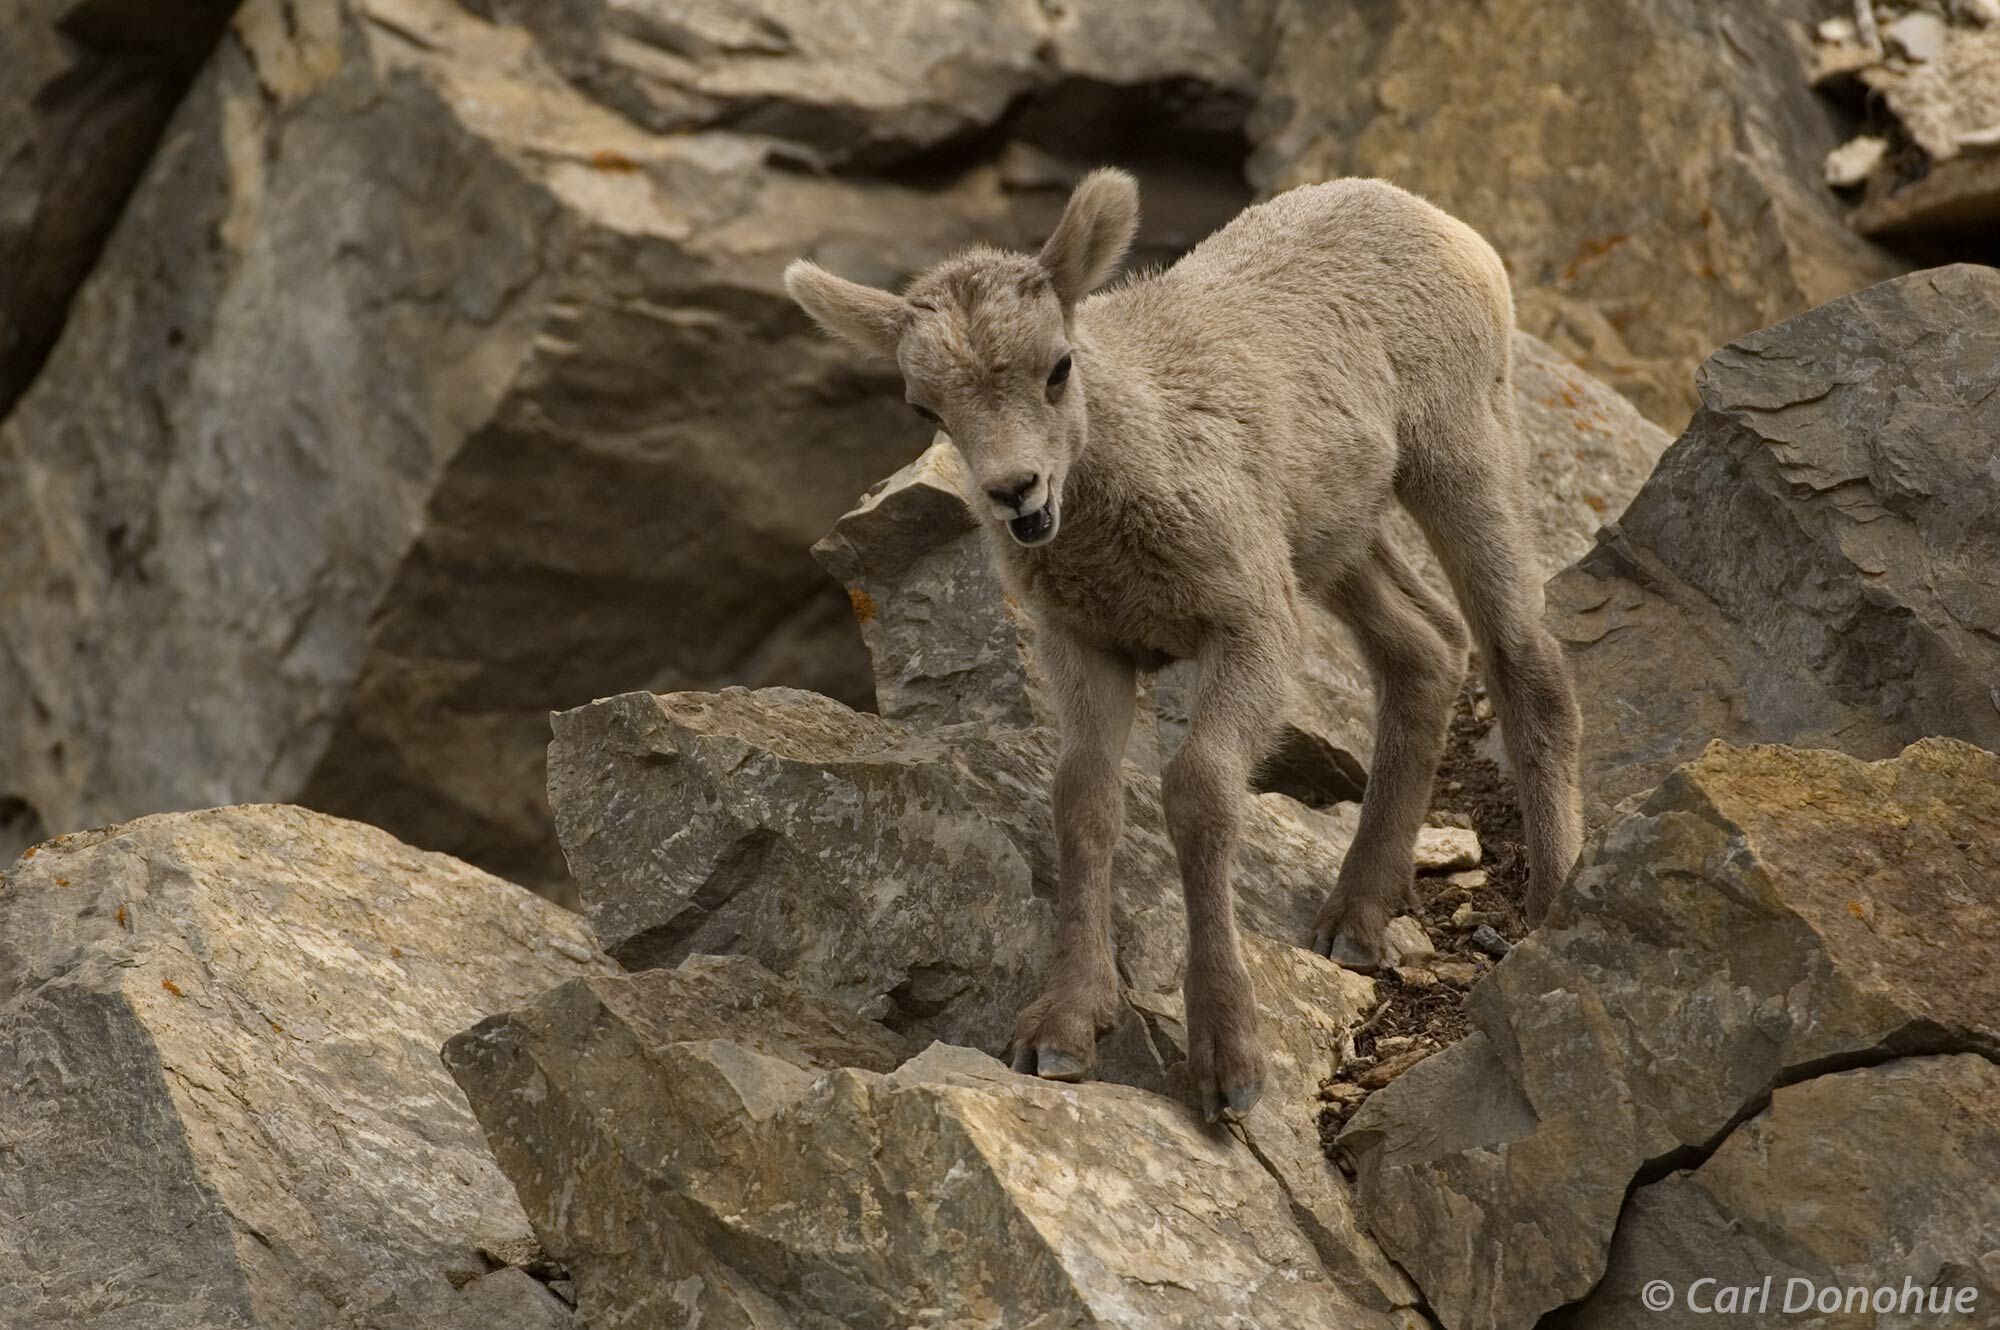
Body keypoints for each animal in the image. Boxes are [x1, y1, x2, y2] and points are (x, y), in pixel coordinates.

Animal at [788, 166, 1584, 1120]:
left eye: (1058, 367)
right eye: (926, 406)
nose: (1017, 495)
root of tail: (1427, 214)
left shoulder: (1251, 628)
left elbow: (1201, 792)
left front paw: (1226, 1063)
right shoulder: (1089, 647)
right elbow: (1083, 799)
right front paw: (1063, 1031)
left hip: (1459, 453)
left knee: (1524, 660)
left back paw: (1553, 905)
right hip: (1331, 537)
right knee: (1425, 648)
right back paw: (1354, 918)